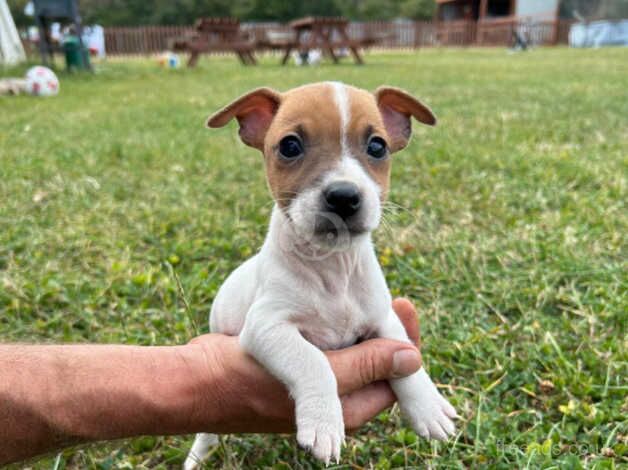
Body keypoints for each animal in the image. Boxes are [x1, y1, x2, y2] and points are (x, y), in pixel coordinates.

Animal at [185, 82, 456, 468]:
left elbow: (404, 356)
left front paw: (428, 406)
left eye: (377, 146)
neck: (332, 268)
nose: (343, 196)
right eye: (289, 146)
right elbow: (312, 361)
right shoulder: (267, 326)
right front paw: (324, 422)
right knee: (208, 433)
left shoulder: (383, 317)